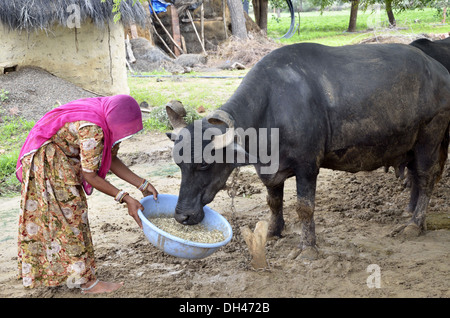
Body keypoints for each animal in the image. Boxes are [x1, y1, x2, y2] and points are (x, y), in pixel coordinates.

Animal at [166, 42, 450, 260]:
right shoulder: (270, 169)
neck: (271, 107)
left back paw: (415, 224)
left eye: (204, 164)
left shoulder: (307, 167)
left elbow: (305, 208)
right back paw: (410, 213)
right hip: (410, 146)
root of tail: (440, 72)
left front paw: (308, 248)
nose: (182, 216)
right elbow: (273, 202)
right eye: (179, 163)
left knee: (426, 178)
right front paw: (273, 232)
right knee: (415, 177)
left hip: (430, 137)